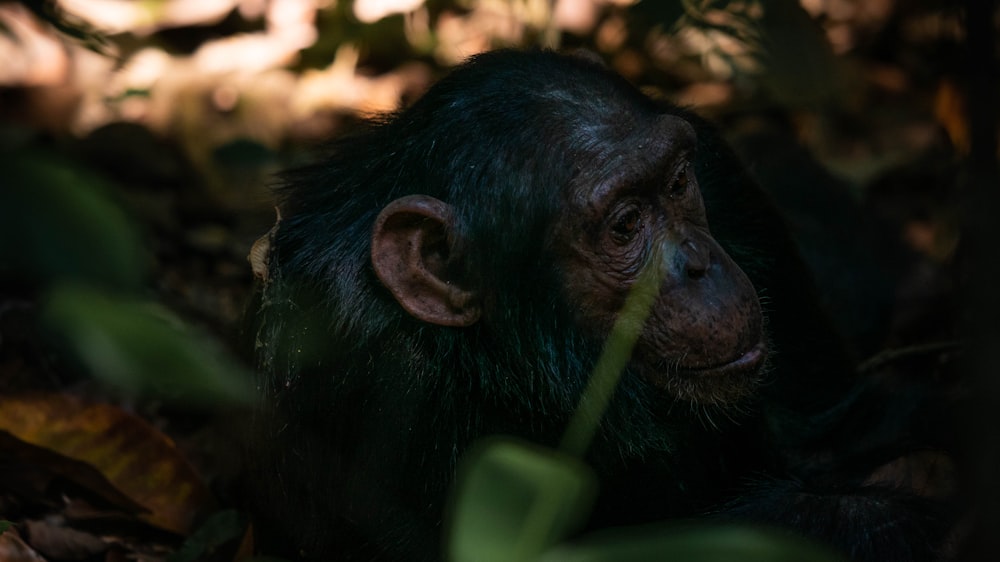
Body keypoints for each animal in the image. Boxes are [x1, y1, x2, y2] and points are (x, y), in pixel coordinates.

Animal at [248, 49, 952, 560]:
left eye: (677, 183)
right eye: (624, 225)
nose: (699, 264)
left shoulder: (726, 180)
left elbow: (834, 427)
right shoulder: (348, 351)